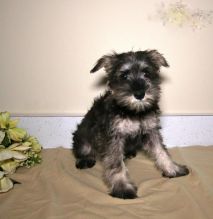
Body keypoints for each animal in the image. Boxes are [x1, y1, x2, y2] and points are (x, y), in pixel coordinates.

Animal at [72, 50, 189, 199]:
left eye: (146, 73)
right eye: (124, 76)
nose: (139, 94)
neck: (134, 112)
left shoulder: (151, 131)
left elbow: (161, 151)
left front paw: (173, 169)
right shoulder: (113, 137)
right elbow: (116, 164)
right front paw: (122, 188)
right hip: (83, 138)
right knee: (82, 150)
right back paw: (85, 160)